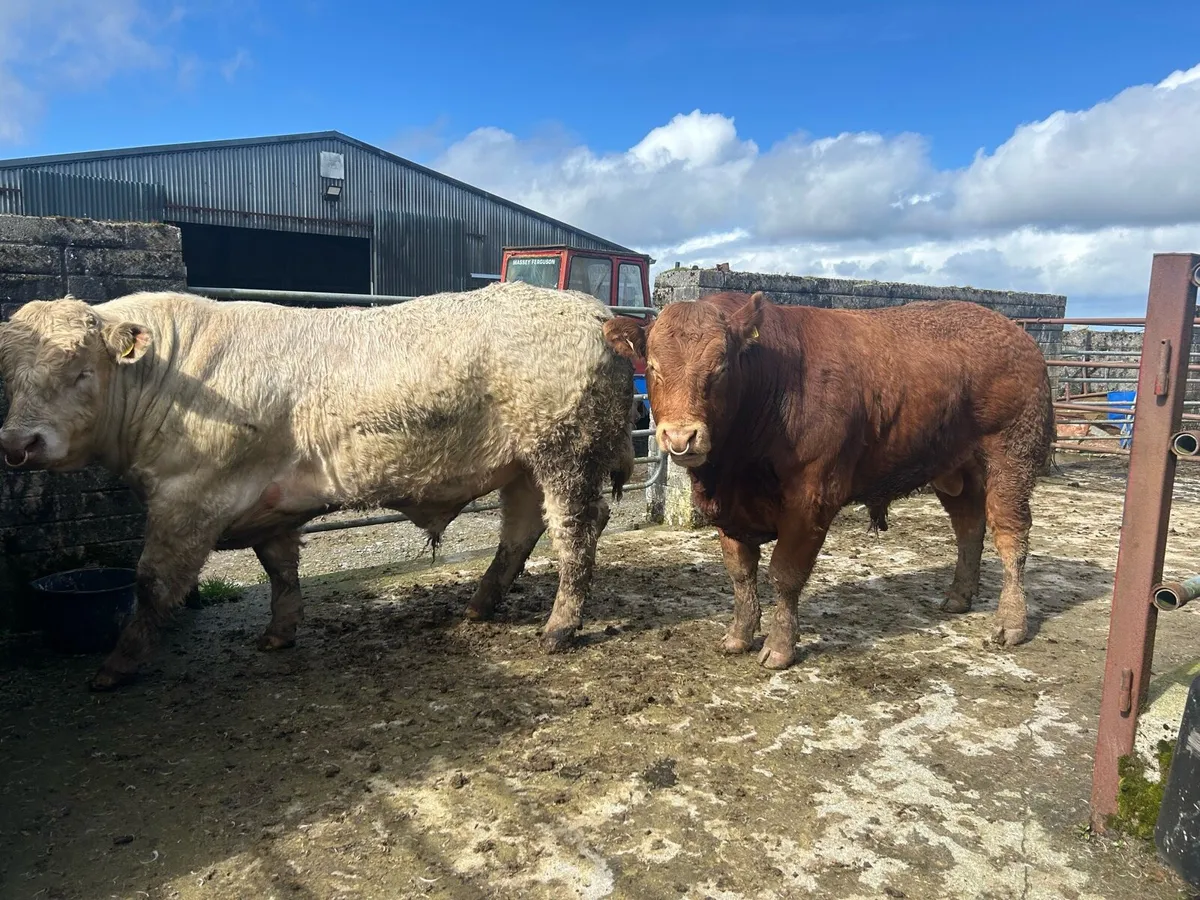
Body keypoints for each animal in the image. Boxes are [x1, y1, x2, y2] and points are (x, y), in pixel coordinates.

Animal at [0, 281, 637, 691]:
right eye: (8, 376)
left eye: (81, 371)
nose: (16, 443)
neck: (176, 377)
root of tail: (592, 312)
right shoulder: (267, 504)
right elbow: (279, 569)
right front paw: (279, 634)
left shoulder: (188, 498)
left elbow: (152, 585)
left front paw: (117, 665)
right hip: (523, 463)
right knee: (523, 530)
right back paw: (479, 606)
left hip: (564, 451)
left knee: (576, 533)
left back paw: (559, 628)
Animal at [605, 291, 1053, 670]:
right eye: (654, 367)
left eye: (720, 367)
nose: (681, 437)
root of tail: (1016, 333)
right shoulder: (730, 510)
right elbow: (740, 573)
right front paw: (739, 635)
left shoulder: (811, 498)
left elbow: (785, 573)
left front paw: (779, 647)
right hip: (953, 469)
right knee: (969, 527)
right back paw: (959, 596)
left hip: (1012, 457)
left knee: (1010, 535)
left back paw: (1011, 621)